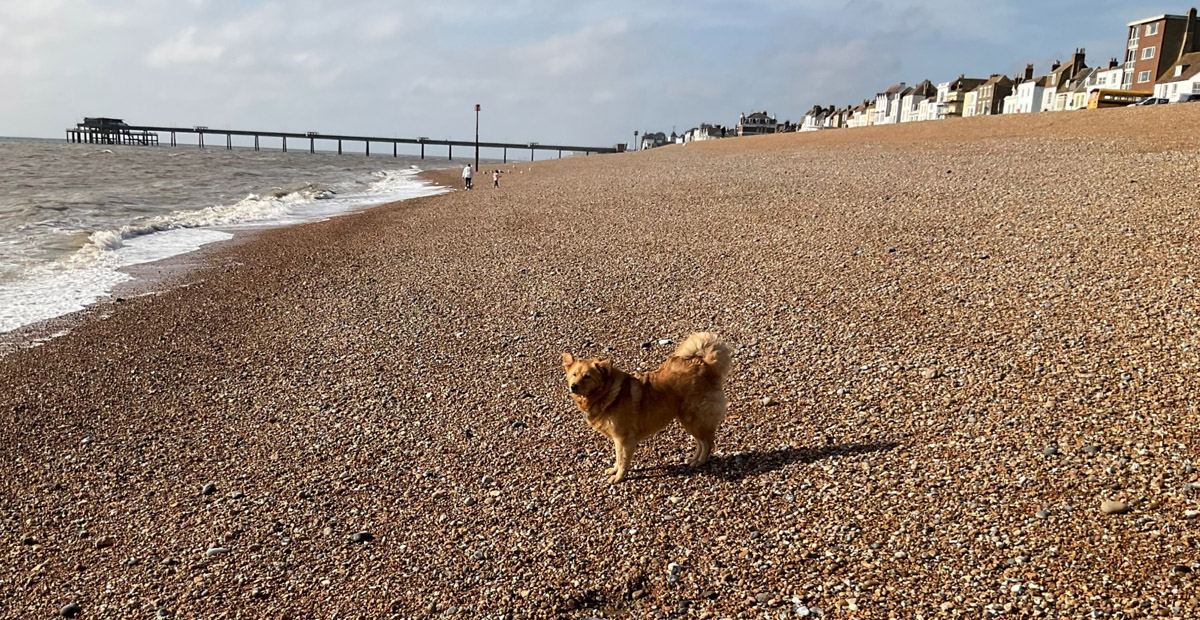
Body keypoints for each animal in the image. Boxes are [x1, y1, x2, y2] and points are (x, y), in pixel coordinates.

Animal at [561, 333, 729, 484]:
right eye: (574, 374)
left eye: (587, 376)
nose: (573, 386)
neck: (607, 392)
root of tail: (706, 364)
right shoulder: (617, 439)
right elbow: (617, 457)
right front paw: (614, 470)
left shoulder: (624, 438)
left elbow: (622, 460)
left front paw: (619, 477)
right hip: (689, 421)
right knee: (702, 442)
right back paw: (694, 459)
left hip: (693, 419)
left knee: (707, 443)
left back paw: (700, 461)